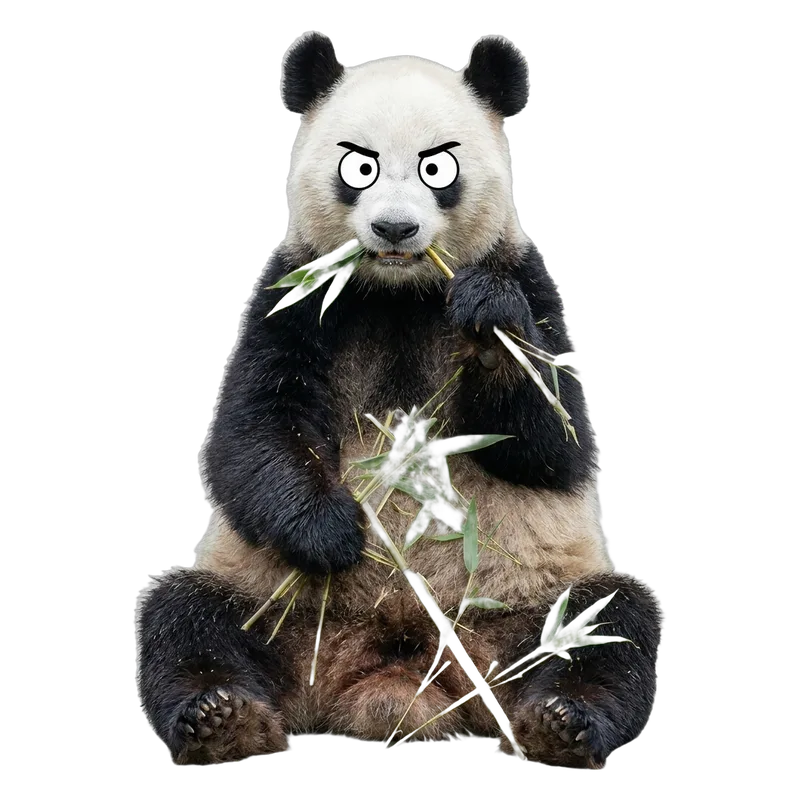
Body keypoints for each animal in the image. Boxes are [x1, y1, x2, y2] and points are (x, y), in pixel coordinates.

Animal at [135, 31, 663, 768]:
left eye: (438, 168)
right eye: (359, 166)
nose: (393, 229)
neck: (400, 293)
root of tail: (389, 680)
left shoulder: (526, 278)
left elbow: (557, 447)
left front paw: (490, 330)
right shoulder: (297, 291)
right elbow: (252, 430)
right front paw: (335, 533)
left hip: (528, 609)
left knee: (610, 625)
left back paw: (557, 724)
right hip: (267, 602)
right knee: (186, 616)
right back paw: (223, 719)